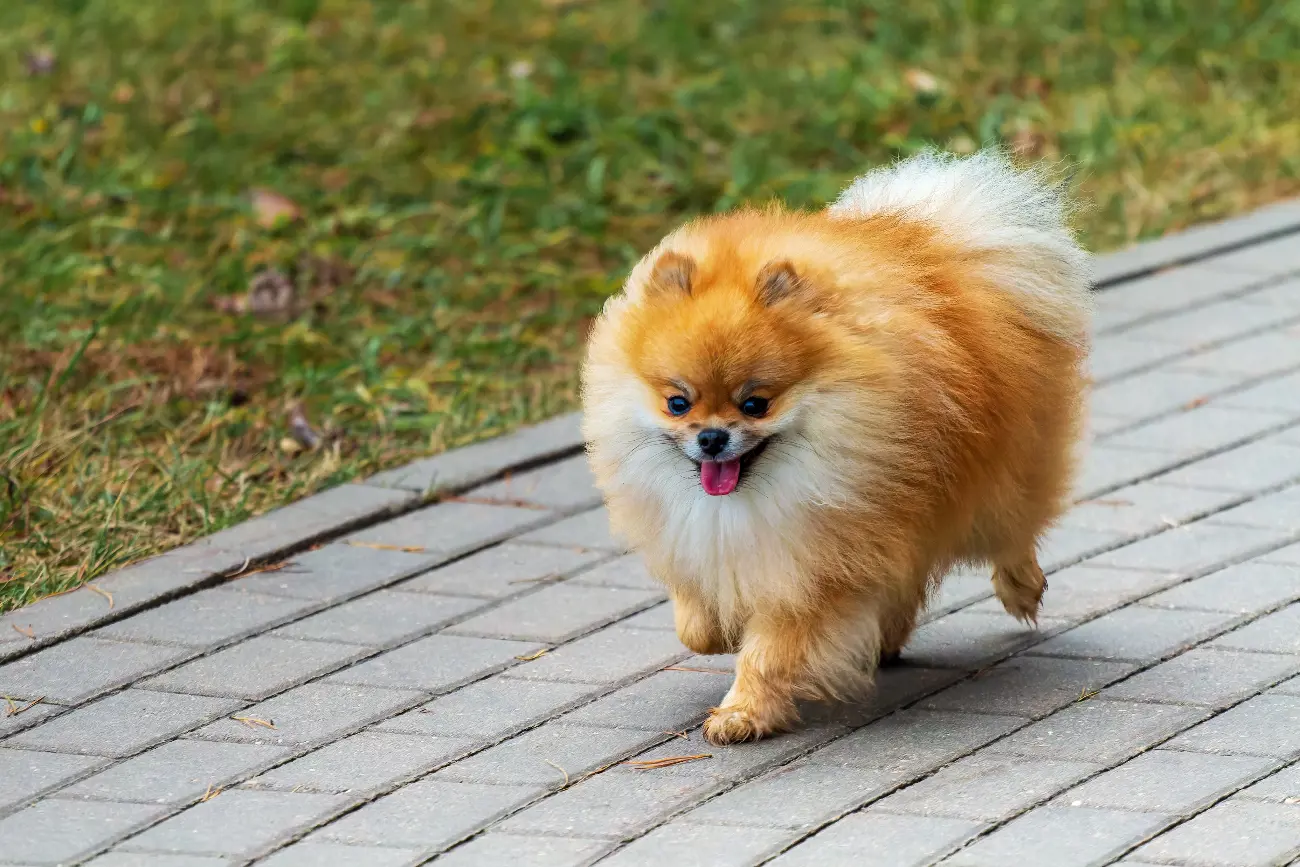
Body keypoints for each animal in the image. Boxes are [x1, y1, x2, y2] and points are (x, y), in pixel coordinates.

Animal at [585, 150, 1092, 748]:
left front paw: (742, 712)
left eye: (755, 404)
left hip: (996, 482)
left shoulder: (817, 564)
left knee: (1012, 532)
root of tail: (947, 247)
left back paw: (1021, 589)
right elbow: (695, 620)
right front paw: (717, 632)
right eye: (678, 403)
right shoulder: (701, 537)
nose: (712, 438)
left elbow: (769, 651)